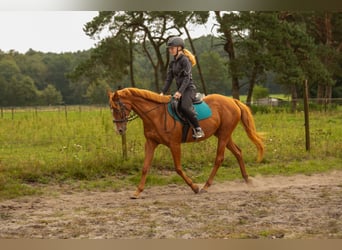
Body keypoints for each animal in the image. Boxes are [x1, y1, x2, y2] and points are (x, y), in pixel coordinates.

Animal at [108, 87, 264, 198]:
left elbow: (177, 168)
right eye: (111, 109)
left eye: (118, 108)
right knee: (238, 152)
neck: (156, 114)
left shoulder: (174, 144)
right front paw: (137, 192)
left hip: (224, 135)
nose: (120, 130)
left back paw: (206, 186)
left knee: (219, 158)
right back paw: (247, 180)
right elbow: (145, 167)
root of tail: (233, 101)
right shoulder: (151, 143)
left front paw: (194, 187)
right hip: (222, 135)